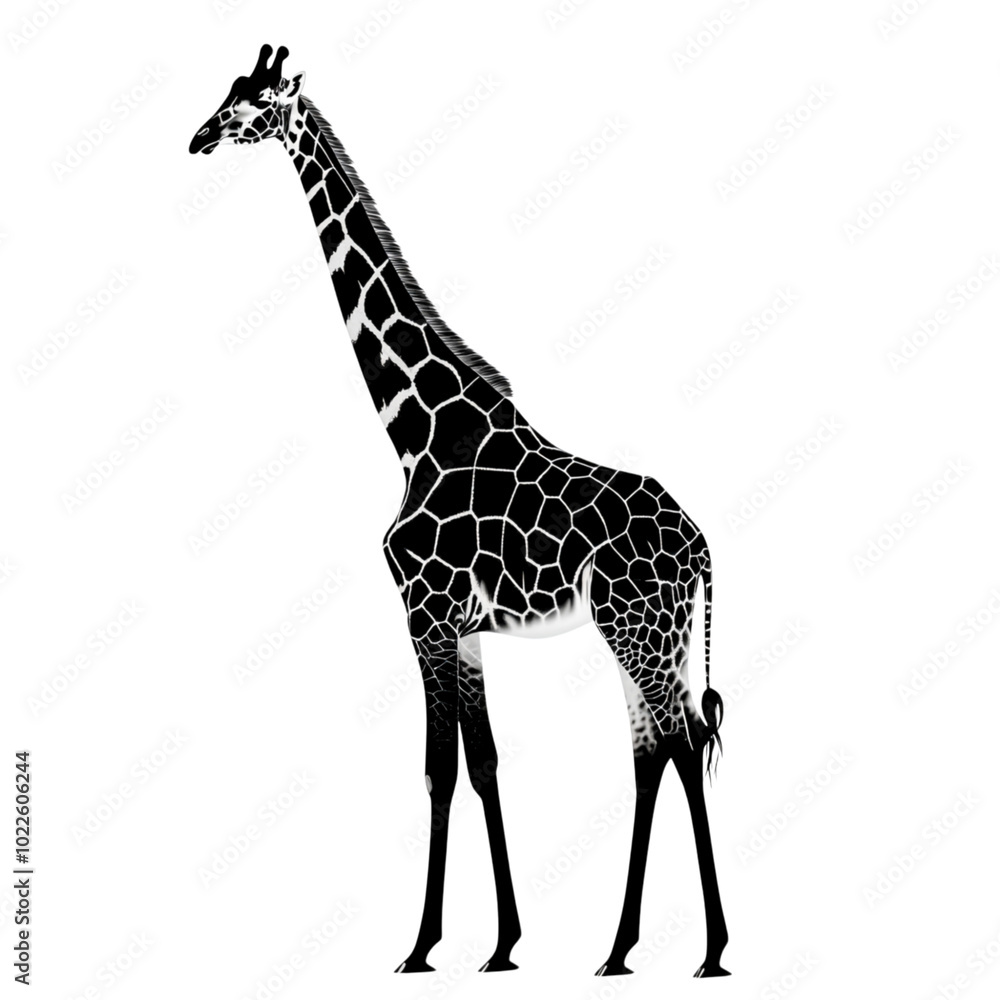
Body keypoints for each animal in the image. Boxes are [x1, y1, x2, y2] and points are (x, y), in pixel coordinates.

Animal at [190, 45, 730, 980]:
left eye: (253, 103)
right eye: (228, 91)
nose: (197, 138)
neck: (414, 429)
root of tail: (700, 546)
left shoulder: (424, 614)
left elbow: (438, 766)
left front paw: (420, 946)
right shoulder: (465, 627)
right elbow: (482, 763)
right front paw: (504, 943)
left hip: (638, 628)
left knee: (682, 744)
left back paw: (710, 953)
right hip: (644, 632)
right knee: (652, 750)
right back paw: (618, 948)